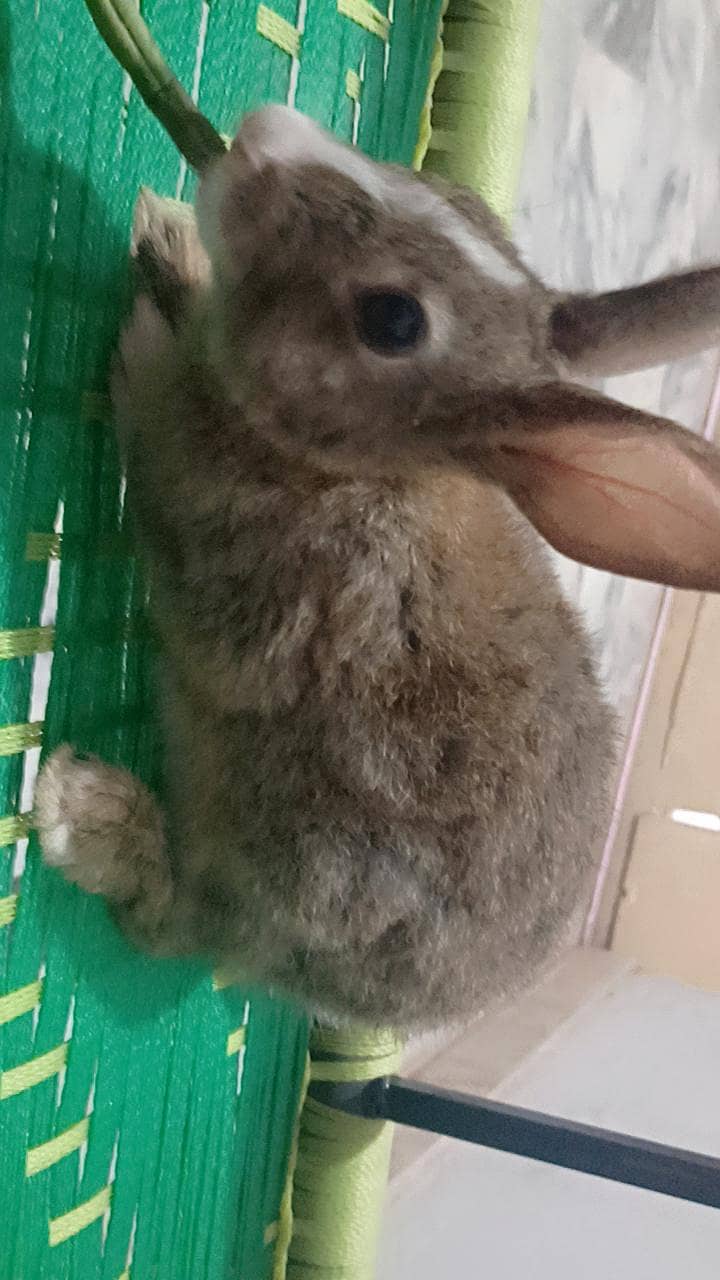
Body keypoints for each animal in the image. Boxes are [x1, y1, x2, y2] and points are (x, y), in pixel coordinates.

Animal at [34, 106, 720, 1031]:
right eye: (462, 201)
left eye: (394, 320)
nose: (264, 134)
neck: (356, 469)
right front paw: (174, 242)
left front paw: (154, 289)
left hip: (300, 863)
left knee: (178, 923)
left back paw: (83, 814)